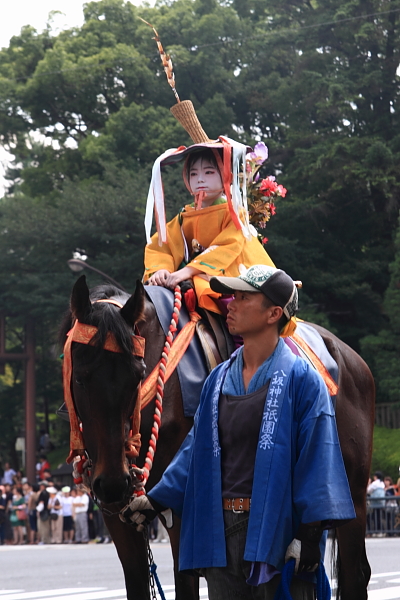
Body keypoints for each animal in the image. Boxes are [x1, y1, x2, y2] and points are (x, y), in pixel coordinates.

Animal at [60, 276, 376, 600]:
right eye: (79, 378)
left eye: (138, 375)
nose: (112, 482)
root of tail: (351, 357)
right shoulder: (117, 512)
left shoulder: (183, 506)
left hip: (351, 489)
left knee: (355, 571)